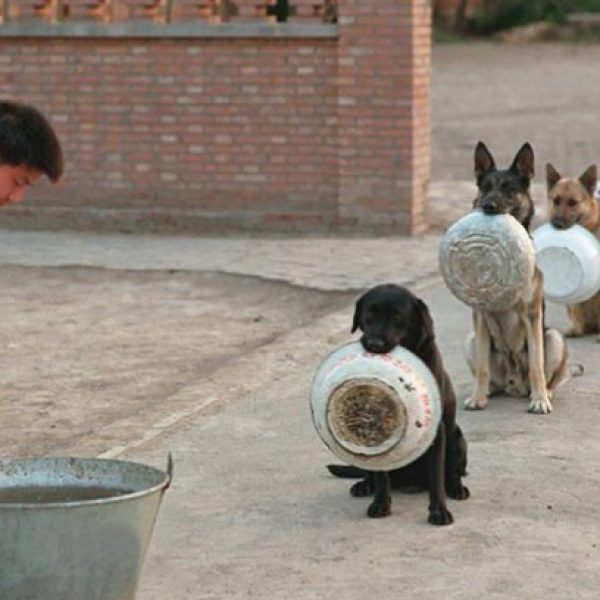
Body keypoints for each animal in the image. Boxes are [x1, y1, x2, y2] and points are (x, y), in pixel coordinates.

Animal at [326, 286, 472, 524]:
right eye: (369, 315)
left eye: (397, 318)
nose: (374, 344)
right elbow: (381, 476)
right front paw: (380, 504)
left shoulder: (436, 431)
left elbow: (436, 477)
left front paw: (439, 511)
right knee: (371, 474)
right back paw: (364, 485)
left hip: (458, 440)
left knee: (452, 473)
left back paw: (456, 488)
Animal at [464, 142, 568, 412]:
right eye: (486, 187)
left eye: (509, 189)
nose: (488, 206)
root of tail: (513, 386)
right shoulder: (480, 317)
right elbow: (482, 366)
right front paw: (477, 397)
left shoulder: (532, 315)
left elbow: (536, 365)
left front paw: (539, 400)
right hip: (472, 339)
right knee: (488, 373)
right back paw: (487, 391)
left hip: (553, 337)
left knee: (548, 374)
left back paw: (544, 393)